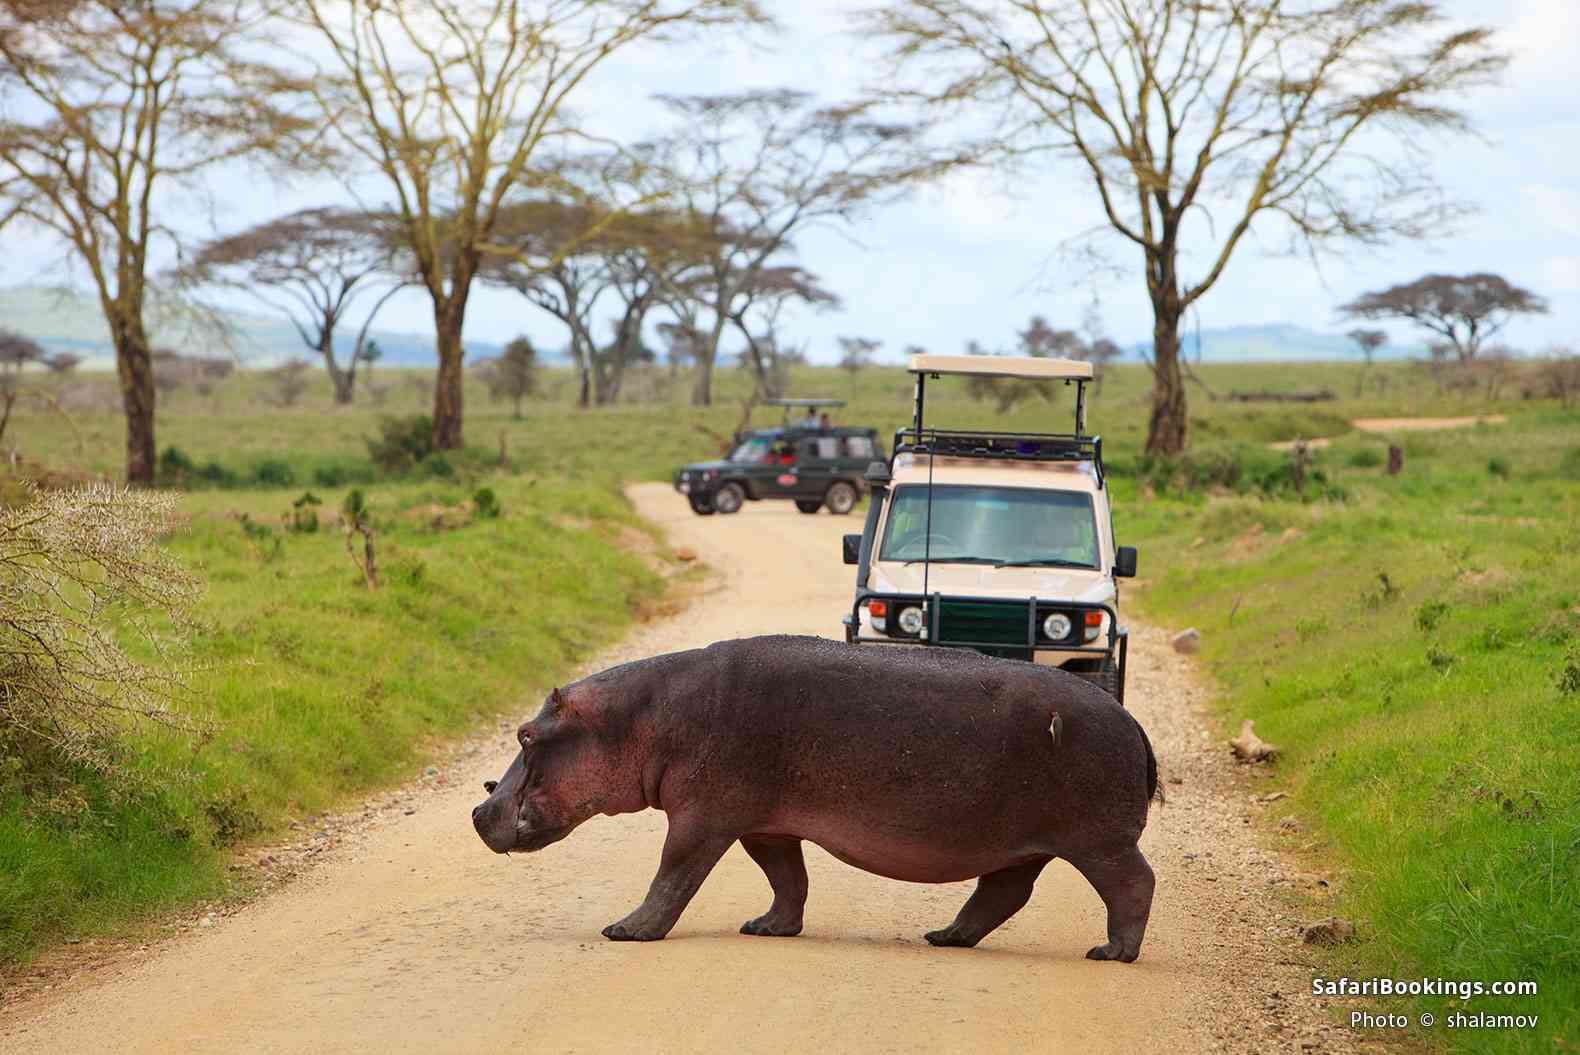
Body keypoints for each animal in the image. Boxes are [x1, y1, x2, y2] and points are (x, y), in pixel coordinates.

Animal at [471, 635, 1161, 960]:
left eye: (527, 735)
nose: (479, 810)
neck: (639, 717)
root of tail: (1135, 724)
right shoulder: (764, 825)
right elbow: (787, 878)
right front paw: (766, 929)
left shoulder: (701, 818)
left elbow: (673, 874)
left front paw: (624, 931)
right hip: (1025, 846)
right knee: (1003, 892)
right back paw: (943, 937)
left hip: (1097, 840)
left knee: (1133, 883)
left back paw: (1111, 953)